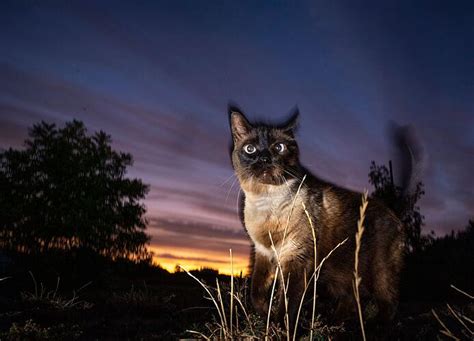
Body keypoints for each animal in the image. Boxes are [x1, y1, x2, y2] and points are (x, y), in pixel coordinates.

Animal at [229, 105, 408, 328]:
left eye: (279, 147)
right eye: (250, 149)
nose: (264, 159)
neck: (266, 202)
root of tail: (393, 209)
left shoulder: (296, 258)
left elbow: (287, 304)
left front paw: (280, 329)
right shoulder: (263, 252)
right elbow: (256, 292)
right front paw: (264, 315)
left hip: (378, 272)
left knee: (388, 304)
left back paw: (370, 328)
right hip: (340, 274)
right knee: (351, 298)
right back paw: (336, 323)